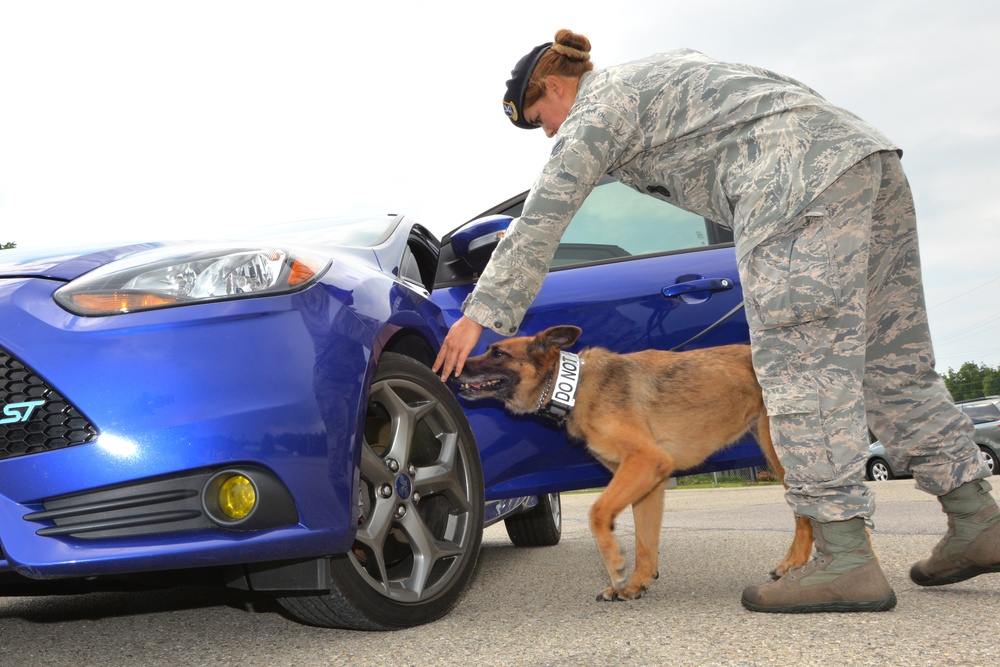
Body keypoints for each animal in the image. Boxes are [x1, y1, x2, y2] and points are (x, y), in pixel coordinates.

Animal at [454, 326, 812, 604]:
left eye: (497, 353)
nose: (454, 368)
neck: (576, 385)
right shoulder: (650, 483)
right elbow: (645, 541)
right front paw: (637, 583)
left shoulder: (646, 461)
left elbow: (598, 512)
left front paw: (615, 567)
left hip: (781, 455)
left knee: (803, 511)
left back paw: (794, 565)